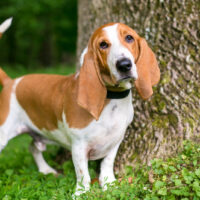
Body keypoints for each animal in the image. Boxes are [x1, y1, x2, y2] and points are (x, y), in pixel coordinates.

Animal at [0, 19, 159, 195]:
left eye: (129, 38)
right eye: (103, 44)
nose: (124, 65)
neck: (112, 98)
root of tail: (11, 82)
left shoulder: (115, 142)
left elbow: (107, 164)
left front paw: (109, 184)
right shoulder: (78, 146)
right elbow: (83, 174)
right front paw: (81, 193)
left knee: (33, 148)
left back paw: (46, 170)